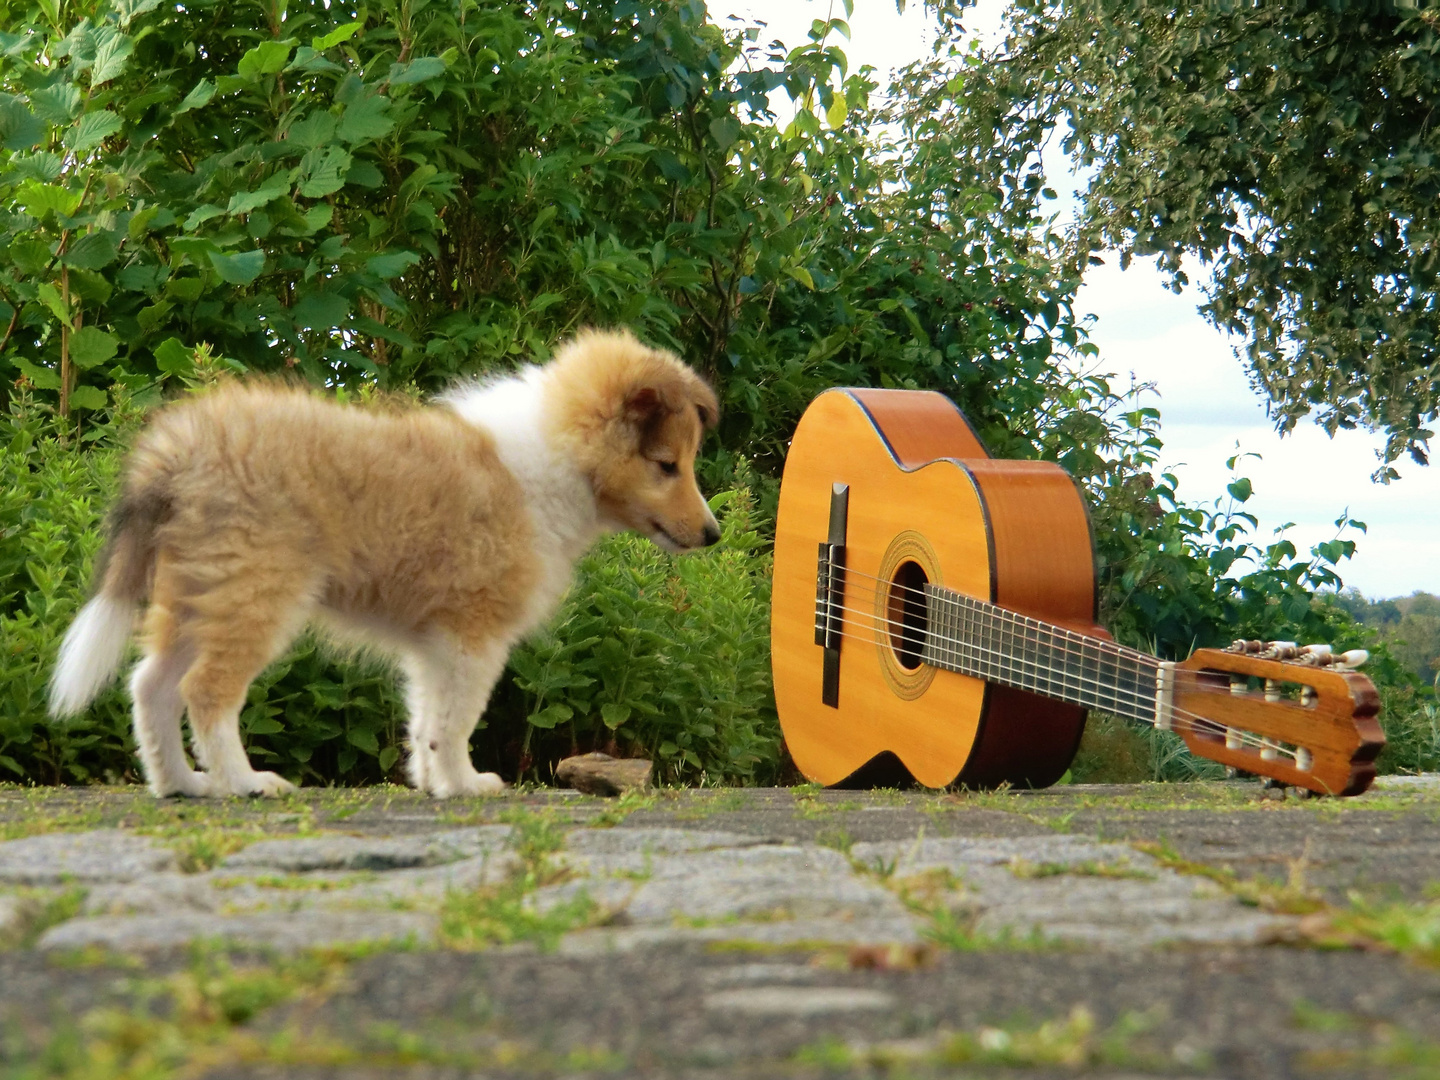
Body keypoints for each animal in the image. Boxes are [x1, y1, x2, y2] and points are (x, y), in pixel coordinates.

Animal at [47, 325, 720, 800]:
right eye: (667, 465)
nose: (713, 535)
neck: (559, 457)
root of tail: (175, 449)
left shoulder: (437, 639)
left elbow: (426, 714)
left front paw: (433, 781)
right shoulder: (474, 630)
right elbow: (457, 716)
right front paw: (464, 783)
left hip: (196, 590)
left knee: (150, 685)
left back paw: (181, 784)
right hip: (254, 591)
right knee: (204, 690)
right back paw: (244, 783)